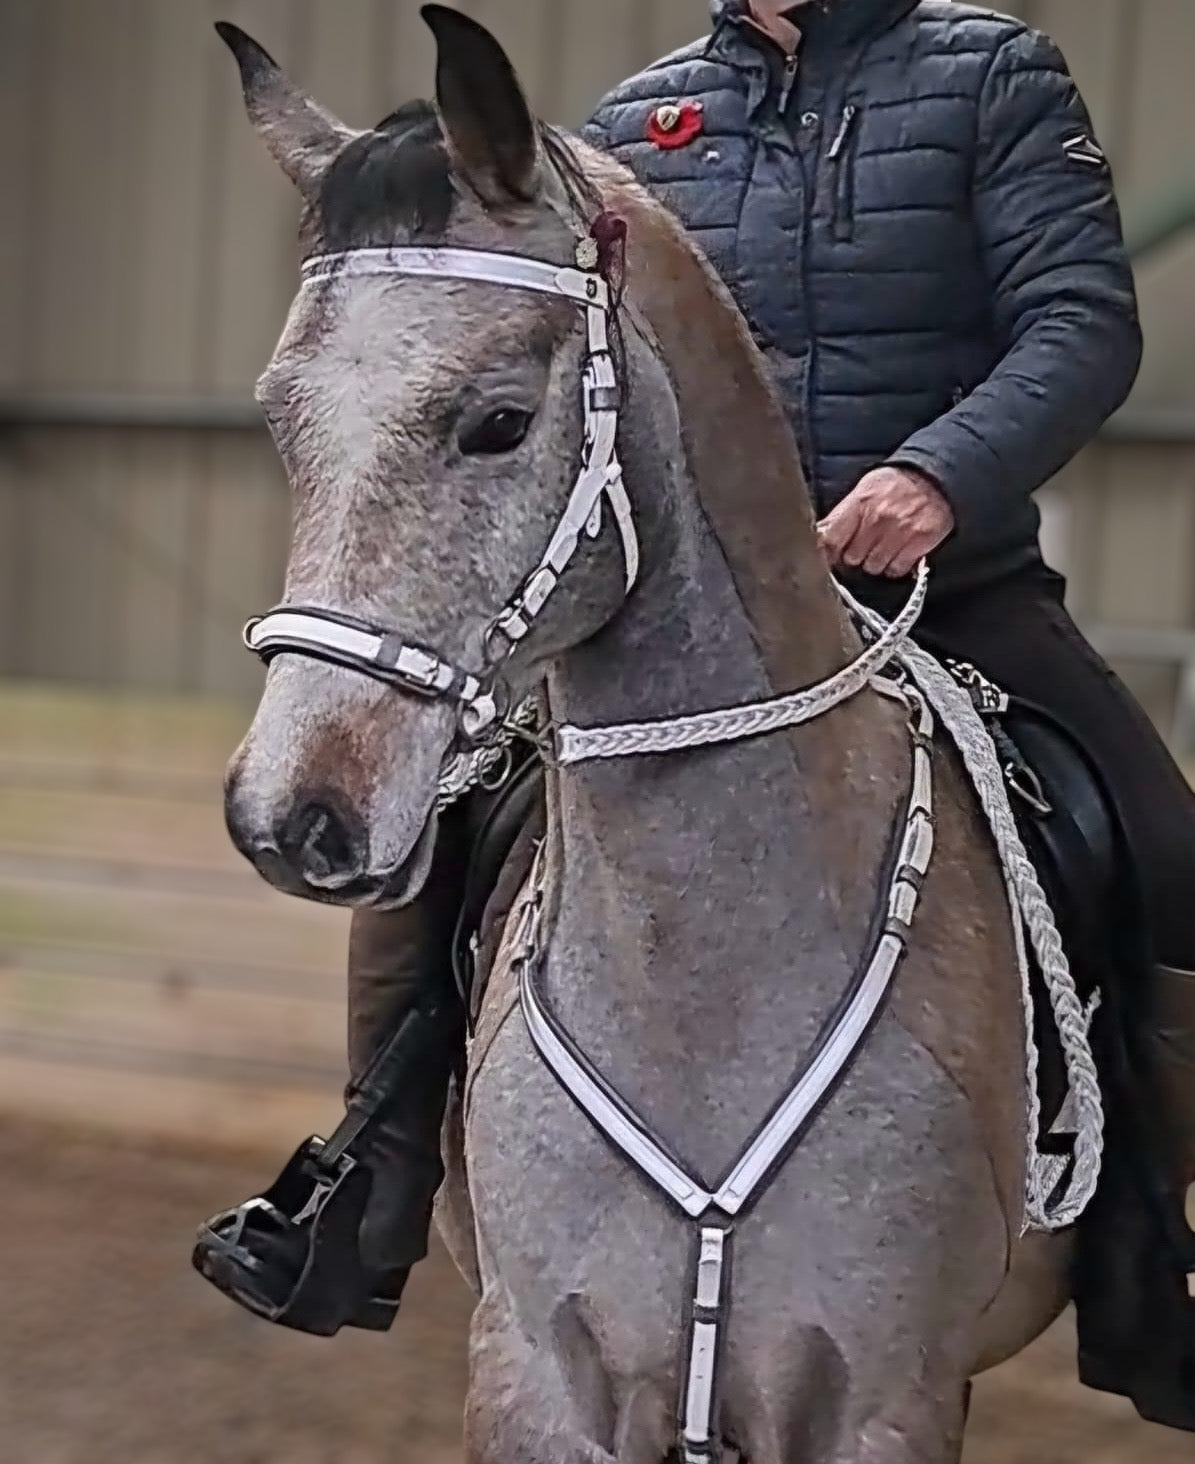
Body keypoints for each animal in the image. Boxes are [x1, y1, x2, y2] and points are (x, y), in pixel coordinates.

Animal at [219, 11, 1066, 1464]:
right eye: (283, 419)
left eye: (496, 421)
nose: (290, 814)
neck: (702, 992)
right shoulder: (537, 1380)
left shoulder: (882, 1398)